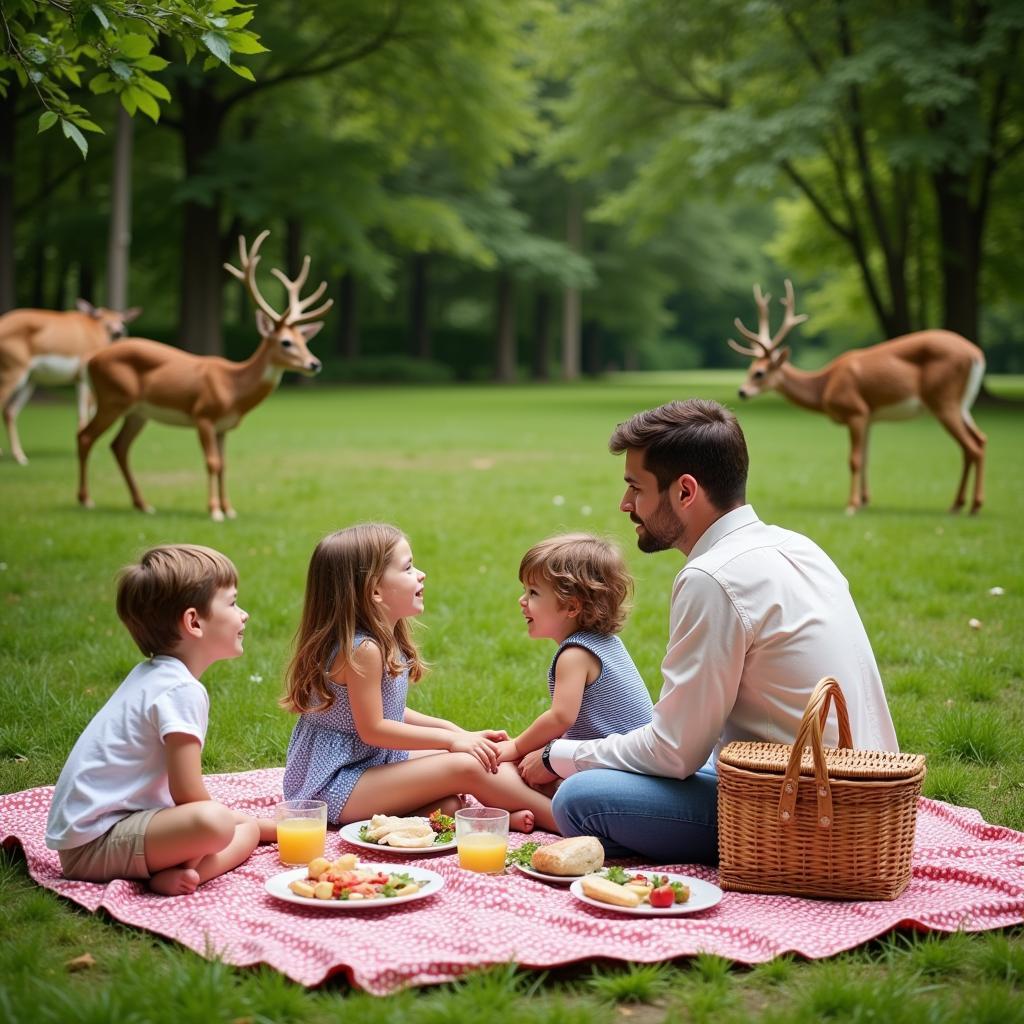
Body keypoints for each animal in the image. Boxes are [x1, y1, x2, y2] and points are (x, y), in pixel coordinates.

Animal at [0, 299, 141, 464]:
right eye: (99, 315)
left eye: (122, 319)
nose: (119, 331)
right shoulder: (82, 376)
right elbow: (83, 414)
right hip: (13, 371)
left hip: (29, 379)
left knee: (10, 411)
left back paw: (20, 456)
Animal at [76, 232, 331, 520]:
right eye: (286, 342)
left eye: (304, 340)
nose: (314, 363)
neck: (233, 387)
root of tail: (91, 360)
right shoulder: (203, 416)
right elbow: (211, 462)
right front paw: (214, 510)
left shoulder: (224, 426)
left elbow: (224, 465)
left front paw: (229, 508)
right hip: (112, 399)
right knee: (85, 437)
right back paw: (86, 499)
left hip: (137, 412)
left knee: (119, 447)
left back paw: (143, 504)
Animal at [729, 282, 983, 512]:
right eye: (749, 369)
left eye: (759, 373)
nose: (742, 391)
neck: (824, 385)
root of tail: (976, 355)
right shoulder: (869, 416)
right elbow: (867, 458)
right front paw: (865, 500)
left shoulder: (856, 411)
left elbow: (855, 460)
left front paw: (851, 505)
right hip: (962, 404)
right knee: (980, 440)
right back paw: (960, 503)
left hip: (944, 399)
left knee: (971, 447)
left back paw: (971, 506)